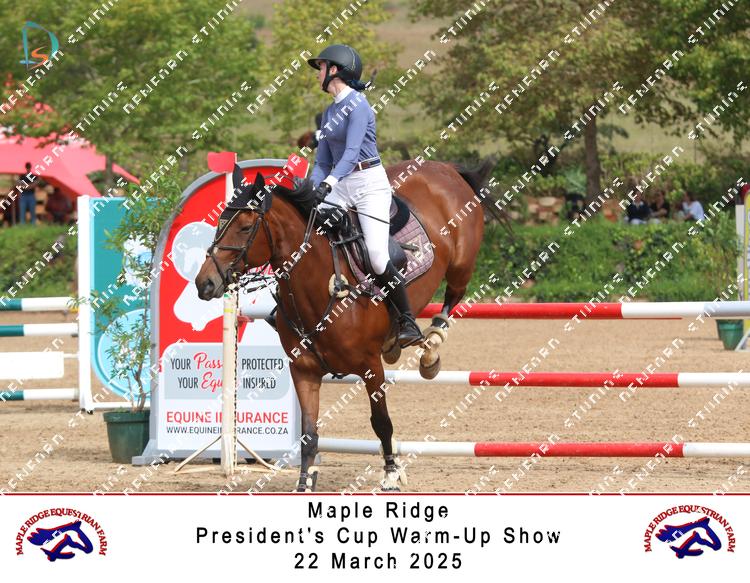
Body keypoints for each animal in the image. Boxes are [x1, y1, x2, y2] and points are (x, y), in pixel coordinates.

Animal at [195, 158, 493, 491]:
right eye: (220, 223)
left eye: (246, 227)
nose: (205, 283)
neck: (319, 287)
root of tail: (444, 168)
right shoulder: (304, 370)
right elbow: (309, 433)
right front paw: (304, 482)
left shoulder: (370, 368)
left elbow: (381, 422)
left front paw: (391, 474)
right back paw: (397, 344)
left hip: (461, 266)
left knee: (451, 300)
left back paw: (428, 348)